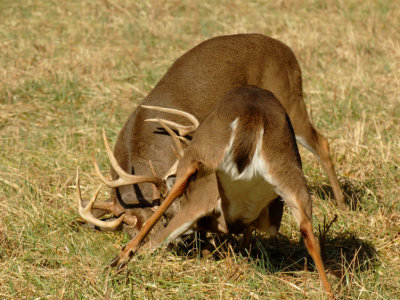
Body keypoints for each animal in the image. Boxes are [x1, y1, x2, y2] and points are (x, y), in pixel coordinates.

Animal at [77, 32, 344, 253]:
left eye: (161, 217)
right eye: (128, 230)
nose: (154, 245)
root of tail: (288, 51)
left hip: (290, 100)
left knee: (322, 143)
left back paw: (341, 204)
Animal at [101, 85, 332, 296]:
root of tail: (253, 115)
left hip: (204, 152)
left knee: (161, 228)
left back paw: (121, 257)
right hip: (289, 174)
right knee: (309, 233)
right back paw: (329, 292)